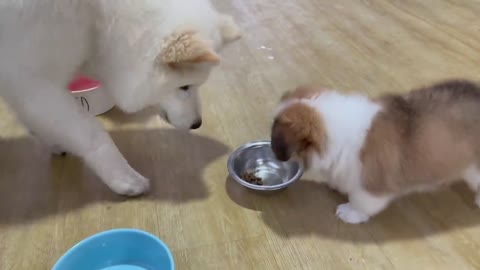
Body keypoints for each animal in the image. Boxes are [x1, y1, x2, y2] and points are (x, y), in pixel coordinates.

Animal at [0, 0, 240, 194]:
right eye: (184, 87)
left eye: (196, 86)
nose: (197, 124)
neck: (96, 16)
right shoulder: (36, 82)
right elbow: (93, 134)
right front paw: (124, 178)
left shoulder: (24, 84)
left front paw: (53, 140)